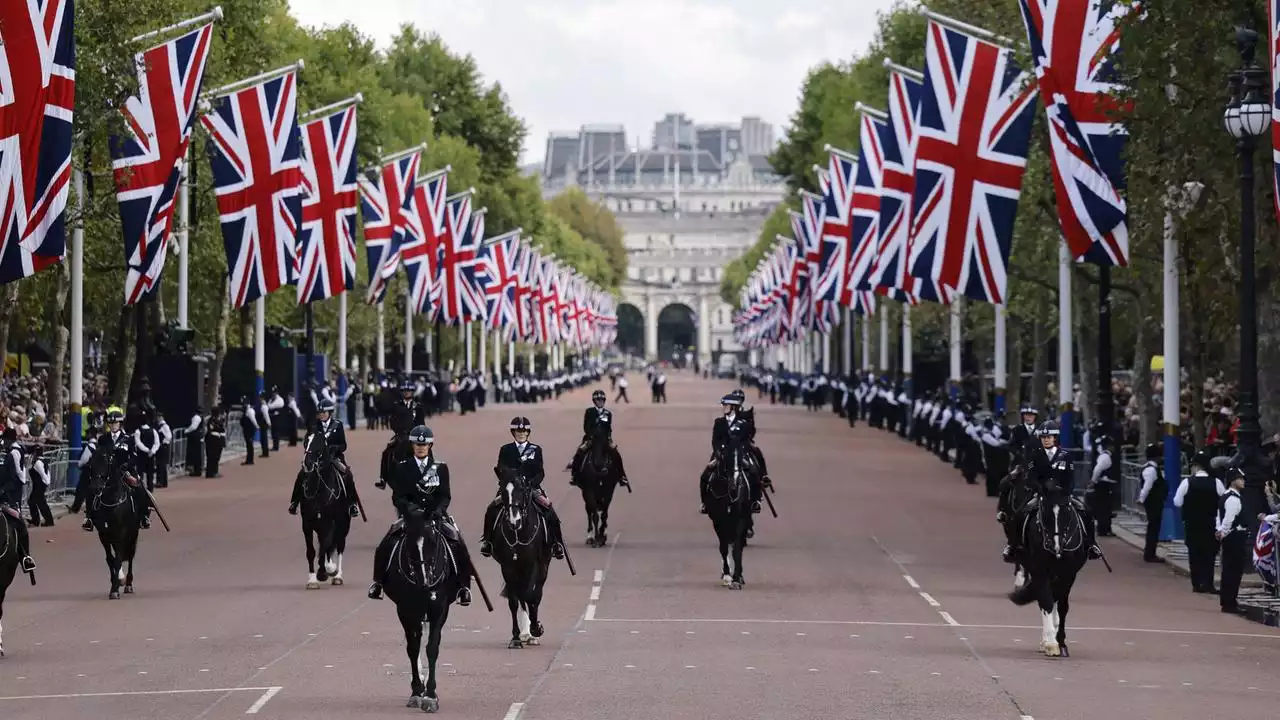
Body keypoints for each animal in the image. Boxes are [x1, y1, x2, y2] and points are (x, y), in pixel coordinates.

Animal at [293, 427, 348, 586]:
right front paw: (312, 579)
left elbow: (326, 545)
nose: (307, 464)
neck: (318, 490)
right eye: (305, 442)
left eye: (319, 444)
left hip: (343, 524)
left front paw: (324, 572)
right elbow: (311, 551)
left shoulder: (330, 523)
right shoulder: (307, 523)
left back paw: (337, 575)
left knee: (339, 545)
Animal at [384, 512, 465, 707]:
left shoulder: (440, 609)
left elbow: (432, 648)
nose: (424, 582)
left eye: (433, 541)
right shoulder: (404, 610)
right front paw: (416, 690)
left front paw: (431, 695)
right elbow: (413, 648)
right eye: (408, 539)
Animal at [488, 461, 550, 648]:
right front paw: (516, 637)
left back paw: (532, 632)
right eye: (502, 489)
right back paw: (525, 633)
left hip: (542, 567)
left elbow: (531, 595)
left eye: (522, 489)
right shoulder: (508, 566)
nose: (514, 521)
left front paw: (536, 628)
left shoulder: (535, 564)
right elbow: (514, 601)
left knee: (536, 594)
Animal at [706, 407, 752, 586]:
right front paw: (727, 575)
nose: (735, 481)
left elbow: (737, 547)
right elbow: (724, 547)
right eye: (726, 454)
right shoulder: (718, 520)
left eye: (742, 453)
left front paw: (737, 577)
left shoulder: (741, 518)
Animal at [1008, 481, 1090, 655]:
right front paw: (1051, 643)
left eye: (1067, 510)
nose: (1055, 546)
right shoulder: (1040, 571)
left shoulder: (1069, 574)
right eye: (1045, 511)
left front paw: (1061, 641)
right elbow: (1046, 602)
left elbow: (1062, 606)